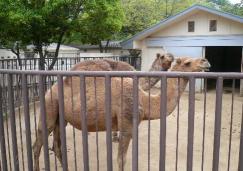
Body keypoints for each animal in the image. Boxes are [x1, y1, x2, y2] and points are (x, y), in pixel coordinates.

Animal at [32, 56, 211, 170]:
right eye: (187, 62)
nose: (205, 61)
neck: (144, 100)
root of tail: (49, 90)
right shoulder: (126, 123)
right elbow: (121, 160)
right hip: (49, 108)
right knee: (37, 144)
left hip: (61, 118)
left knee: (56, 146)